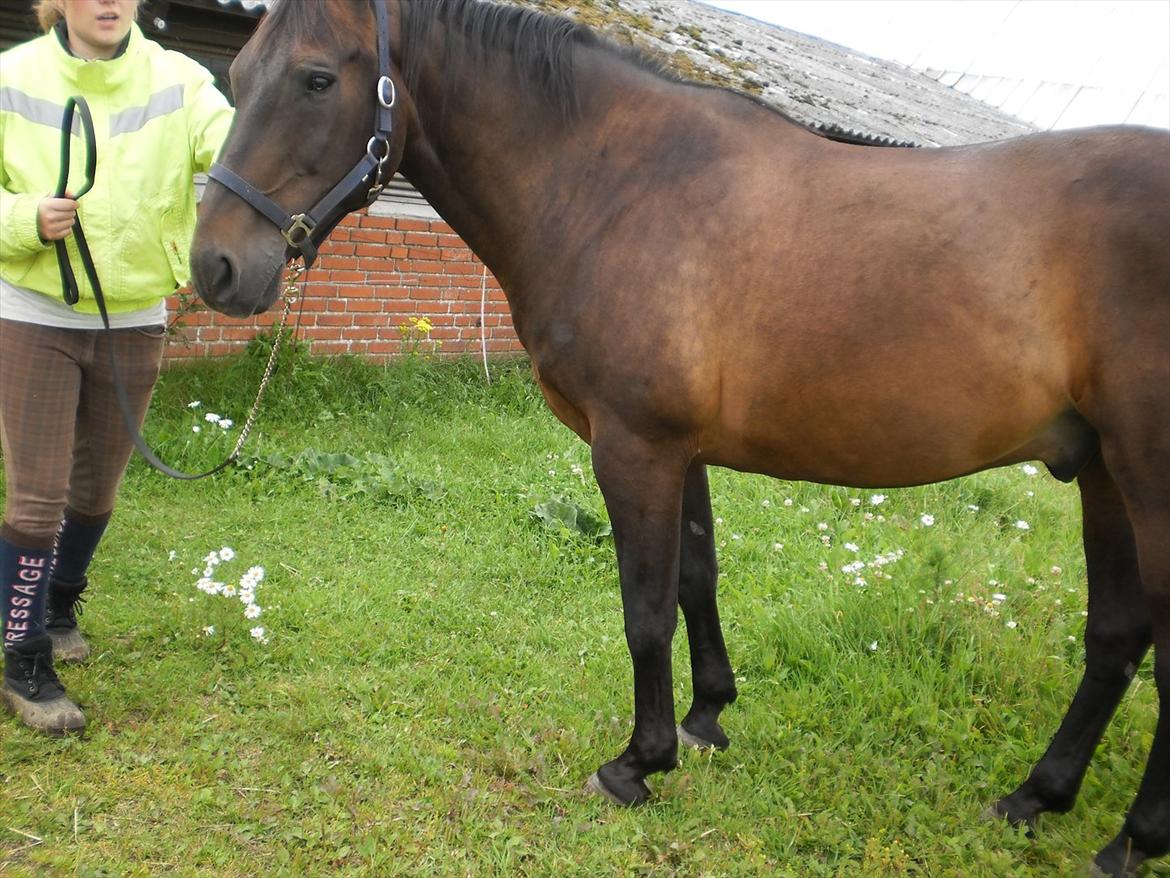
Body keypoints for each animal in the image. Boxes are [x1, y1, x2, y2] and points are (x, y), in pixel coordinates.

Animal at [187, 3, 1165, 875]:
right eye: (235, 74)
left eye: (317, 79)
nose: (216, 268)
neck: (618, 183)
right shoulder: (681, 451)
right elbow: (697, 577)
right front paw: (705, 720)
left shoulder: (634, 447)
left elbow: (645, 608)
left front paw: (637, 763)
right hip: (1104, 474)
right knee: (1117, 638)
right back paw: (1038, 798)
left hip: (1147, 480)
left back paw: (1129, 840)